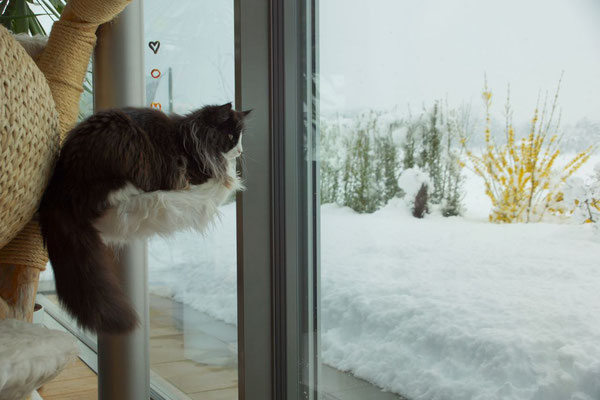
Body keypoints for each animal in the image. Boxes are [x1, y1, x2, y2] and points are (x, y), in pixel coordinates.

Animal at [38, 103, 248, 334]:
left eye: (240, 138)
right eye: (230, 136)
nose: (240, 151)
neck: (190, 139)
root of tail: (60, 181)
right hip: (128, 149)